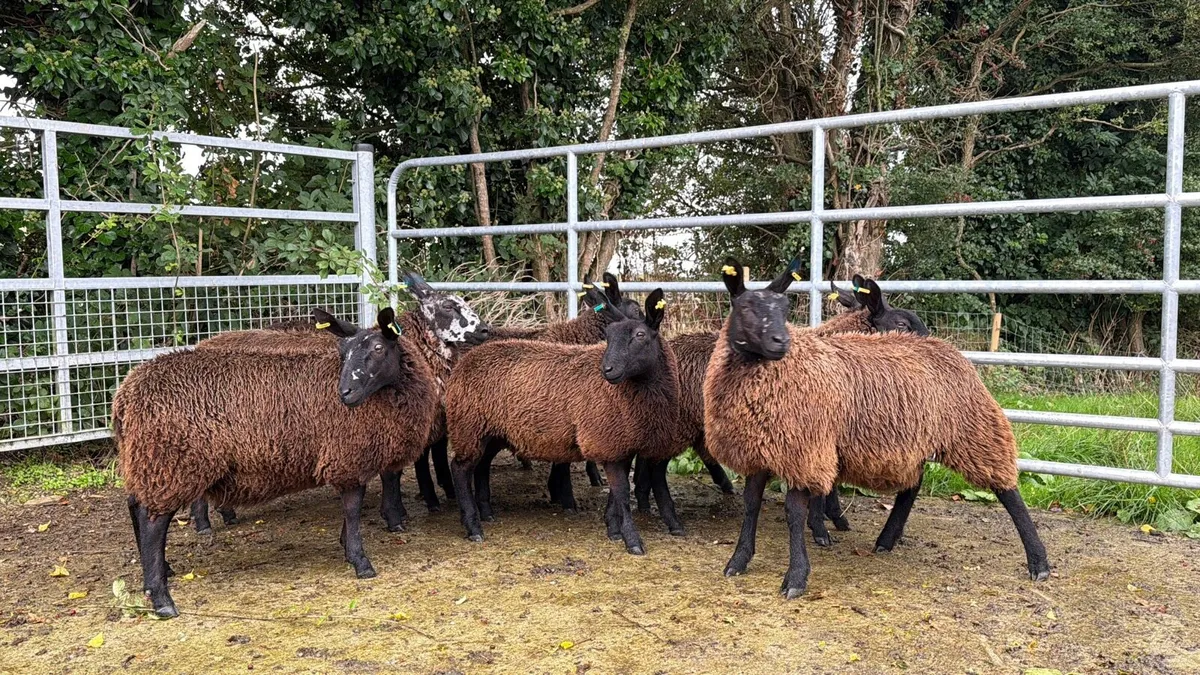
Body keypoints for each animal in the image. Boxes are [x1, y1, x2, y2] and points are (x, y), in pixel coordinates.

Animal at [114, 307, 439, 617]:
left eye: (378, 348)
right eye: (343, 352)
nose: (345, 392)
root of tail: (125, 395)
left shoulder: (348, 462)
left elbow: (351, 512)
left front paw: (347, 547)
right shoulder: (347, 458)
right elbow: (353, 509)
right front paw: (361, 562)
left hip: (150, 461)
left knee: (136, 505)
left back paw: (160, 572)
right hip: (172, 462)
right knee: (153, 522)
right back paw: (162, 599)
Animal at [444, 289, 684, 554]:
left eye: (640, 335)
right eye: (608, 336)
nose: (607, 369)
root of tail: (466, 361)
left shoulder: (623, 445)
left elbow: (616, 495)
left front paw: (612, 528)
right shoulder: (606, 442)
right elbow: (621, 495)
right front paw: (632, 541)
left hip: (493, 430)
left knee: (481, 464)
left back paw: (486, 512)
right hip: (468, 424)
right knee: (460, 469)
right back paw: (473, 526)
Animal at [703, 257, 1050, 598]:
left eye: (785, 310)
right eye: (745, 307)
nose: (781, 342)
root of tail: (949, 350)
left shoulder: (806, 450)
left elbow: (795, 512)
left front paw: (799, 573)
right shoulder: (759, 450)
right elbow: (751, 505)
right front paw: (739, 560)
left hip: (973, 429)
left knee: (1007, 491)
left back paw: (1039, 562)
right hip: (914, 440)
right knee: (913, 486)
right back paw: (887, 539)